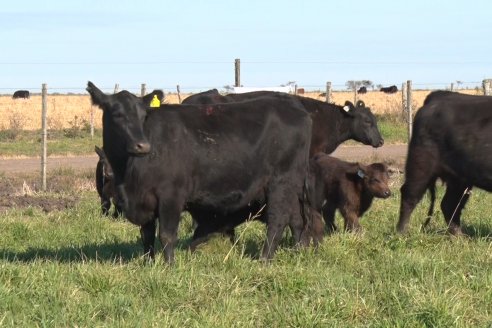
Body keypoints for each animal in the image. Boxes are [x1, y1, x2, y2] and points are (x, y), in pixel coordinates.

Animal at [396, 91, 492, 234]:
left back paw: (459, 235)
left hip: (459, 178)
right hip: (421, 165)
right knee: (409, 196)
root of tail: (439, 95)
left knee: (449, 205)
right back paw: (401, 233)